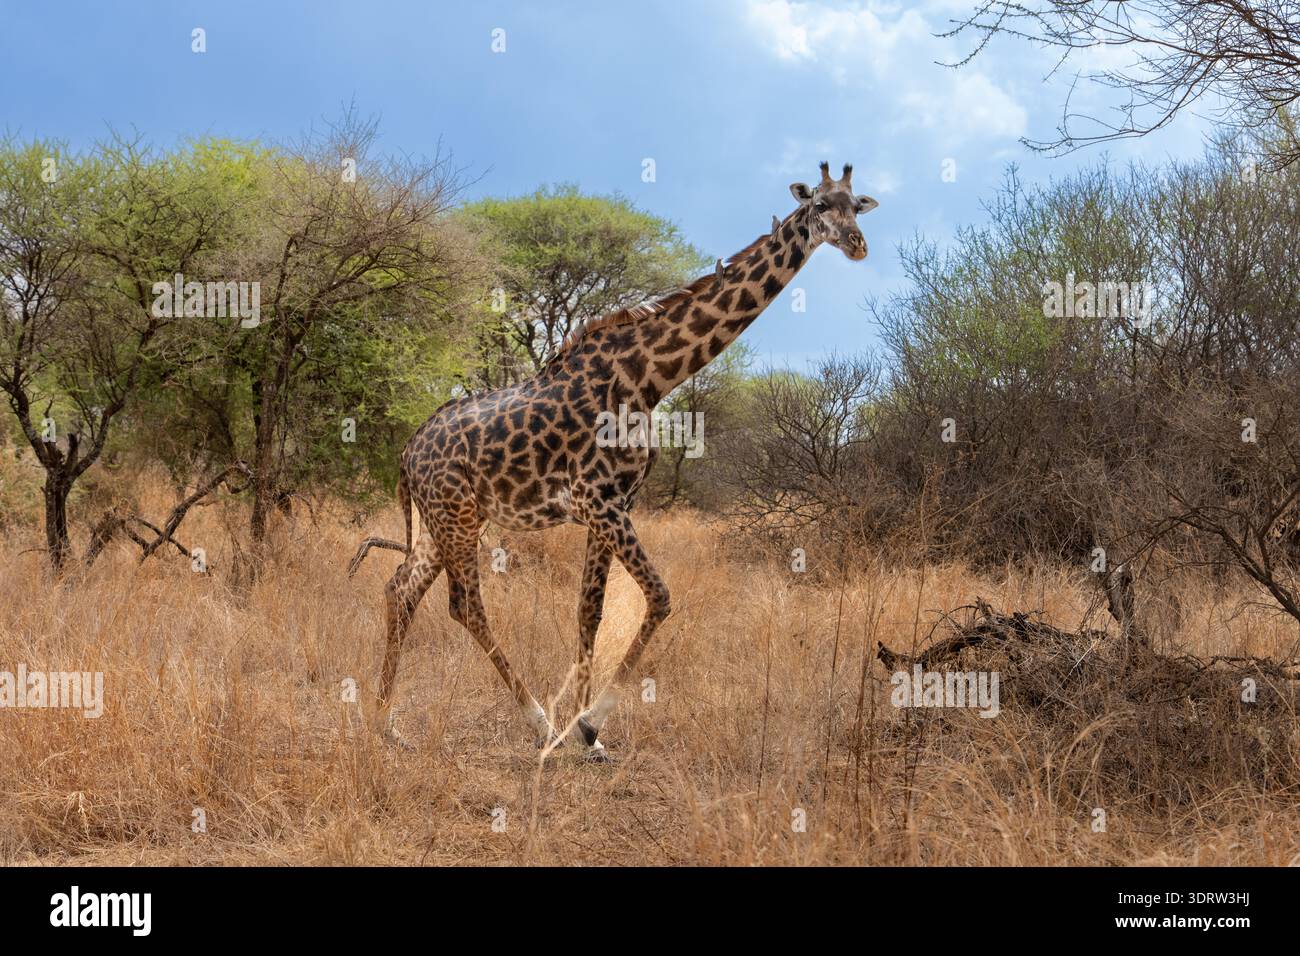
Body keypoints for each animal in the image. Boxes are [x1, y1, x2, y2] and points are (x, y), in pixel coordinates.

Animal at [376, 162, 877, 758]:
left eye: (858, 205)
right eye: (821, 205)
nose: (857, 244)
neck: (651, 377)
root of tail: (407, 451)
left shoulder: (614, 502)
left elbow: (588, 608)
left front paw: (583, 734)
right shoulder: (597, 499)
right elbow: (659, 596)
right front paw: (584, 723)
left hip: (447, 519)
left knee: (402, 588)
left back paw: (384, 721)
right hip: (455, 515)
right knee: (464, 603)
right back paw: (535, 720)